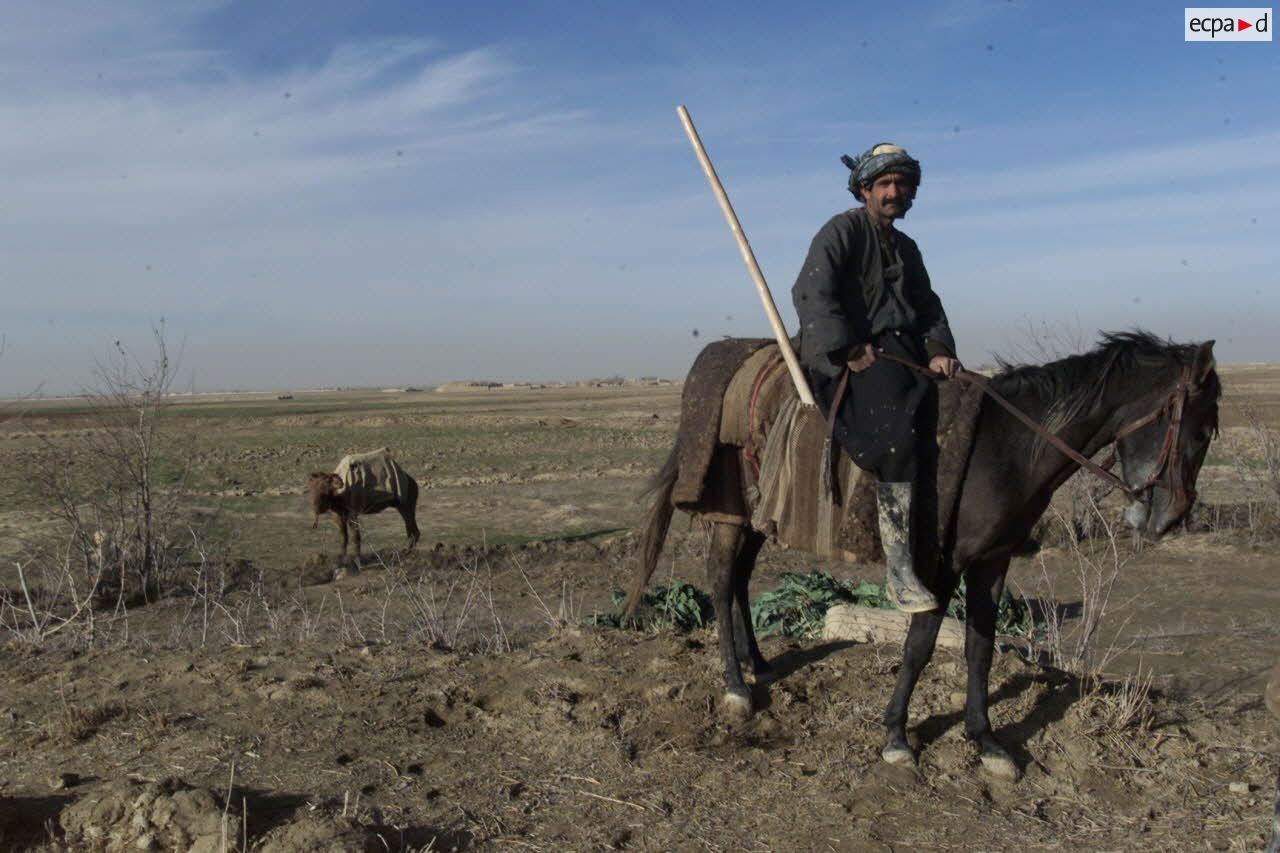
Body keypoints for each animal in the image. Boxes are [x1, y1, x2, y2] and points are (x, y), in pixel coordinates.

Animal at [629, 333, 1218, 778]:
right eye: (1199, 426)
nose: (1171, 517)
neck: (1008, 444)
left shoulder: (992, 560)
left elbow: (980, 648)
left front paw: (988, 742)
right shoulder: (938, 564)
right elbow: (919, 647)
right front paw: (896, 736)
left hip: (757, 517)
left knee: (742, 578)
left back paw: (760, 663)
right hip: (729, 511)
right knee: (720, 578)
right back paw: (735, 687)